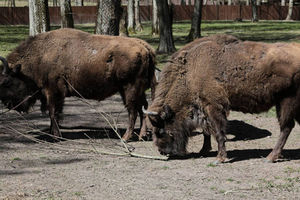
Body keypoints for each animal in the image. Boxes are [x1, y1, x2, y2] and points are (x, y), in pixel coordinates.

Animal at [0, 27, 155, 141]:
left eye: (6, 81)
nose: (6, 103)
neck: (41, 55)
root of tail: (145, 47)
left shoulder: (53, 92)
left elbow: (53, 112)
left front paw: (56, 136)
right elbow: (55, 113)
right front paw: (52, 133)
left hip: (129, 89)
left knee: (133, 111)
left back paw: (125, 138)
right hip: (136, 90)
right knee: (143, 108)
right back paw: (142, 136)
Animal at [145, 34, 300, 162]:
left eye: (160, 130)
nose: (162, 151)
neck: (191, 73)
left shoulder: (213, 106)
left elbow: (218, 132)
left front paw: (219, 158)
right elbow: (209, 131)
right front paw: (206, 151)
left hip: (286, 102)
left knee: (286, 127)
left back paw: (270, 157)